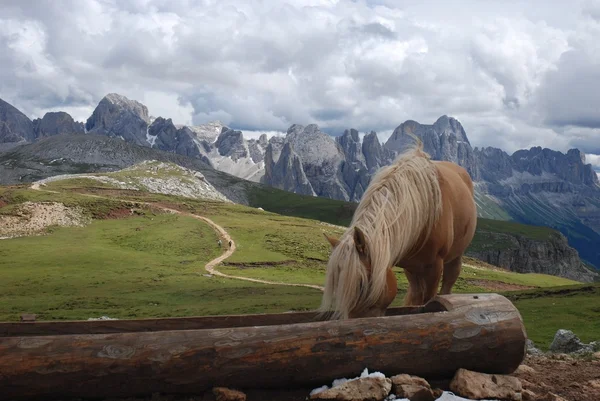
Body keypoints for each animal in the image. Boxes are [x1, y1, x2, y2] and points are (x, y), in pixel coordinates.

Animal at [318, 136, 478, 320]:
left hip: (455, 257)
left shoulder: (435, 267)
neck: (422, 216)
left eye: (361, 284)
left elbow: (428, 300)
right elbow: (415, 302)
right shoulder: (411, 268)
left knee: (448, 284)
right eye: (337, 284)